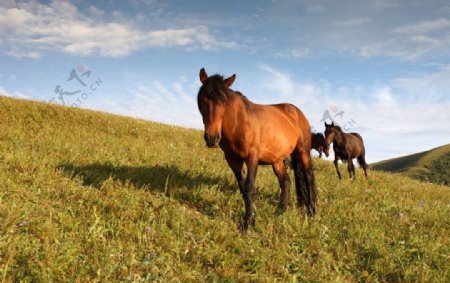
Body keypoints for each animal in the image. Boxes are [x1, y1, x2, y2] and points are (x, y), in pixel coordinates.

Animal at [197, 69, 316, 233]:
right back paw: (280, 211)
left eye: (224, 102)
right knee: (286, 182)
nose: (212, 138)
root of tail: (297, 112)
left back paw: (311, 211)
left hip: (303, 152)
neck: (238, 123)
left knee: (308, 178)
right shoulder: (232, 159)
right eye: (203, 99)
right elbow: (242, 188)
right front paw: (251, 218)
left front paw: (247, 224)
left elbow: (249, 187)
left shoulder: (252, 157)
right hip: (277, 160)